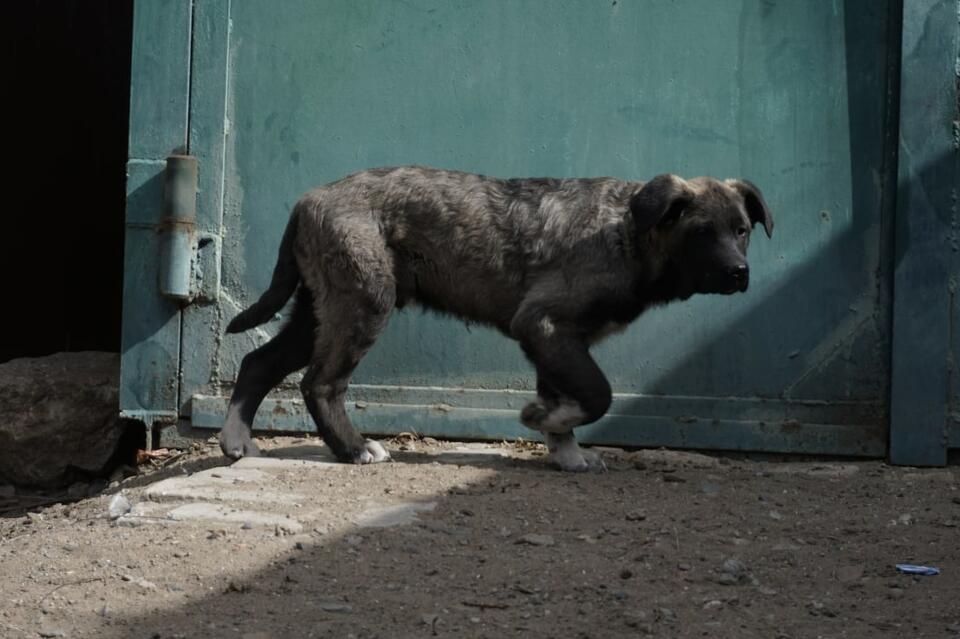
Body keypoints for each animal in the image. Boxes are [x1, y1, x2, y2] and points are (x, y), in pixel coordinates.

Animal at [219, 168, 772, 472]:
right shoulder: (543, 324)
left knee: (259, 362)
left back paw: (237, 441)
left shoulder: (559, 340)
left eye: (742, 230)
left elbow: (570, 396)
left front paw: (565, 451)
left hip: (320, 308)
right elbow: (598, 394)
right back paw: (354, 449)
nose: (740, 273)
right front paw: (542, 420)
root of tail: (307, 200)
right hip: (363, 301)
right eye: (702, 232)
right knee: (320, 383)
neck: (628, 232)